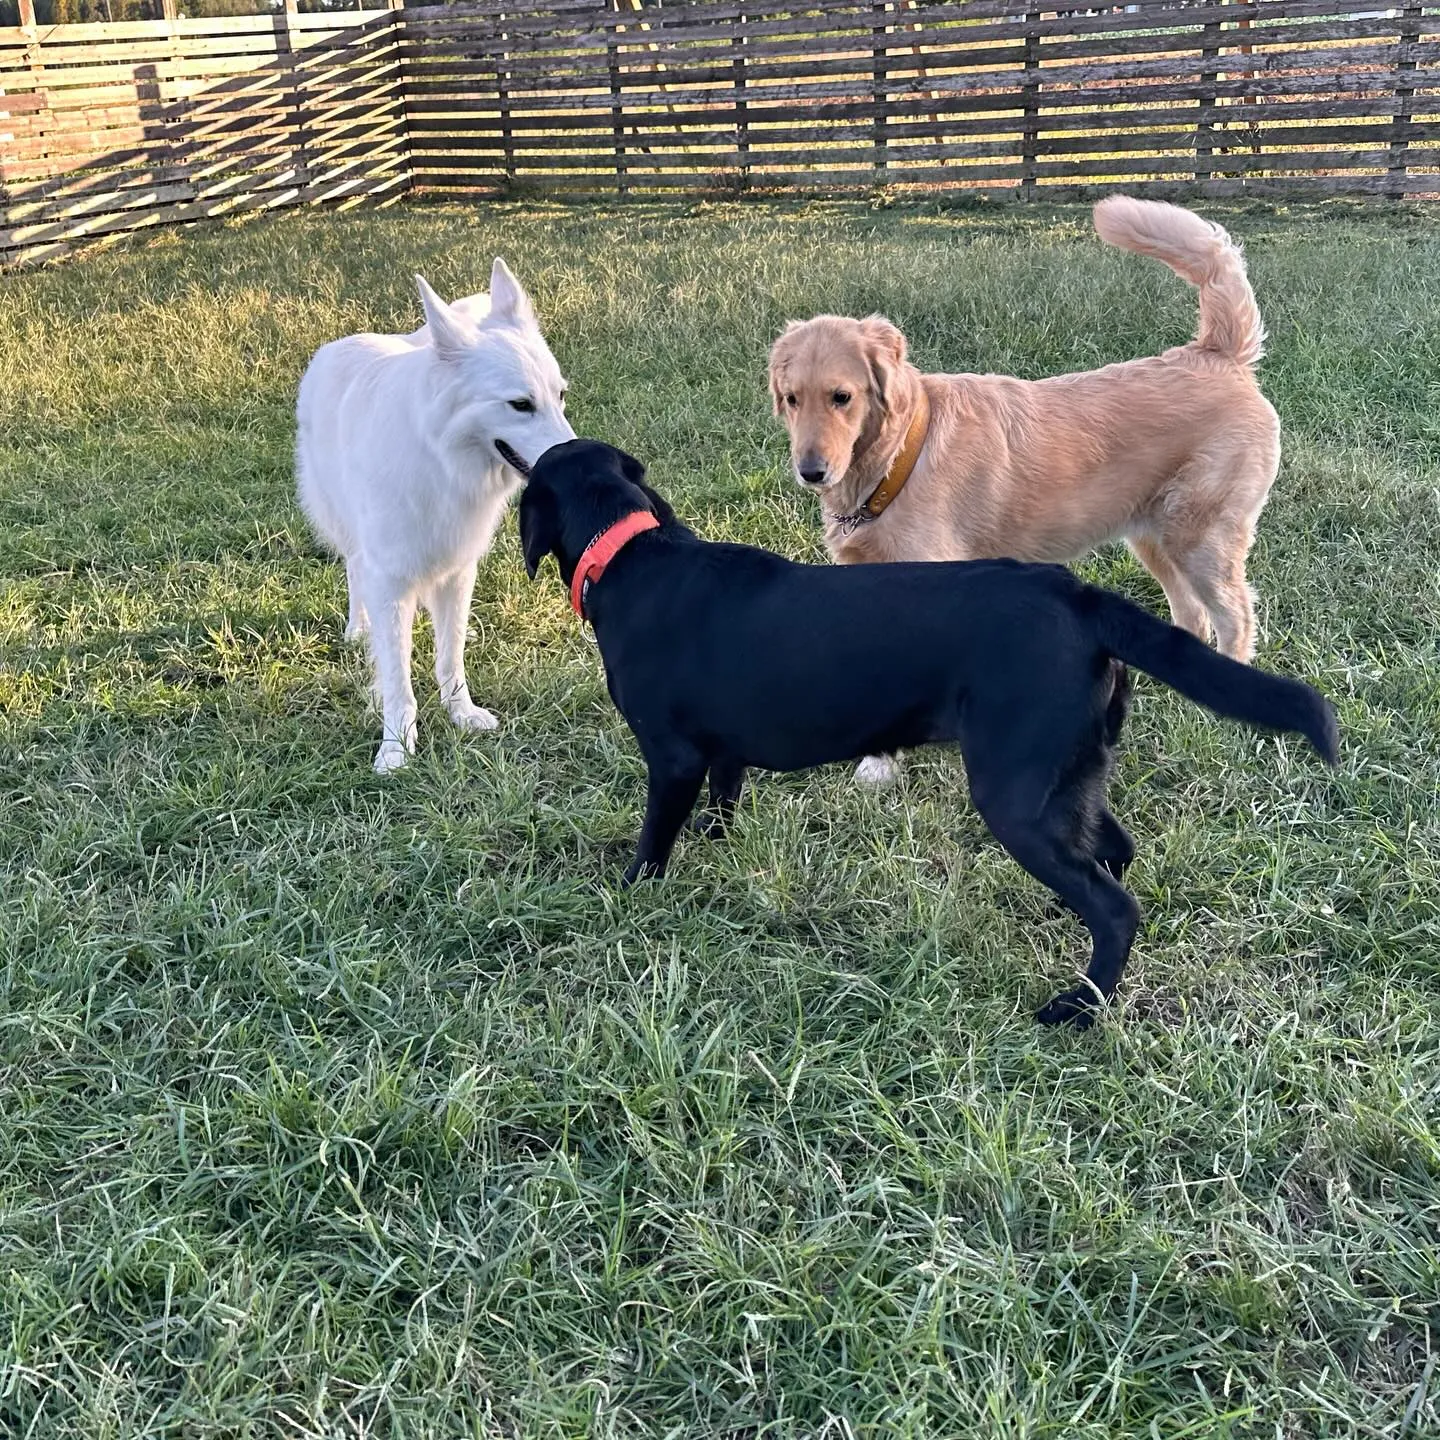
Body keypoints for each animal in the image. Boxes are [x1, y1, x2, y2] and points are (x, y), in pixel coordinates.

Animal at [295, 259, 570, 777]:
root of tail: (336, 347)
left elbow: (450, 656)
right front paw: (396, 748)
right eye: (520, 404)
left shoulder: (458, 571)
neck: (442, 462)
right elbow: (397, 681)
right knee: (353, 568)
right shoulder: (390, 580)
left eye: (560, 396)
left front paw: (460, 713)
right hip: (348, 529)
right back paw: (356, 630)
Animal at [509, 437, 1336, 1025]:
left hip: (1013, 789)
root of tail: (1079, 598)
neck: (631, 553)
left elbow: (654, 841)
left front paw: (630, 896)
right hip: (1069, 773)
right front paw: (718, 847)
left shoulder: (672, 758)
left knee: (1116, 905)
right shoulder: (721, 755)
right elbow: (723, 801)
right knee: (1114, 854)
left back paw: (1078, 1007)